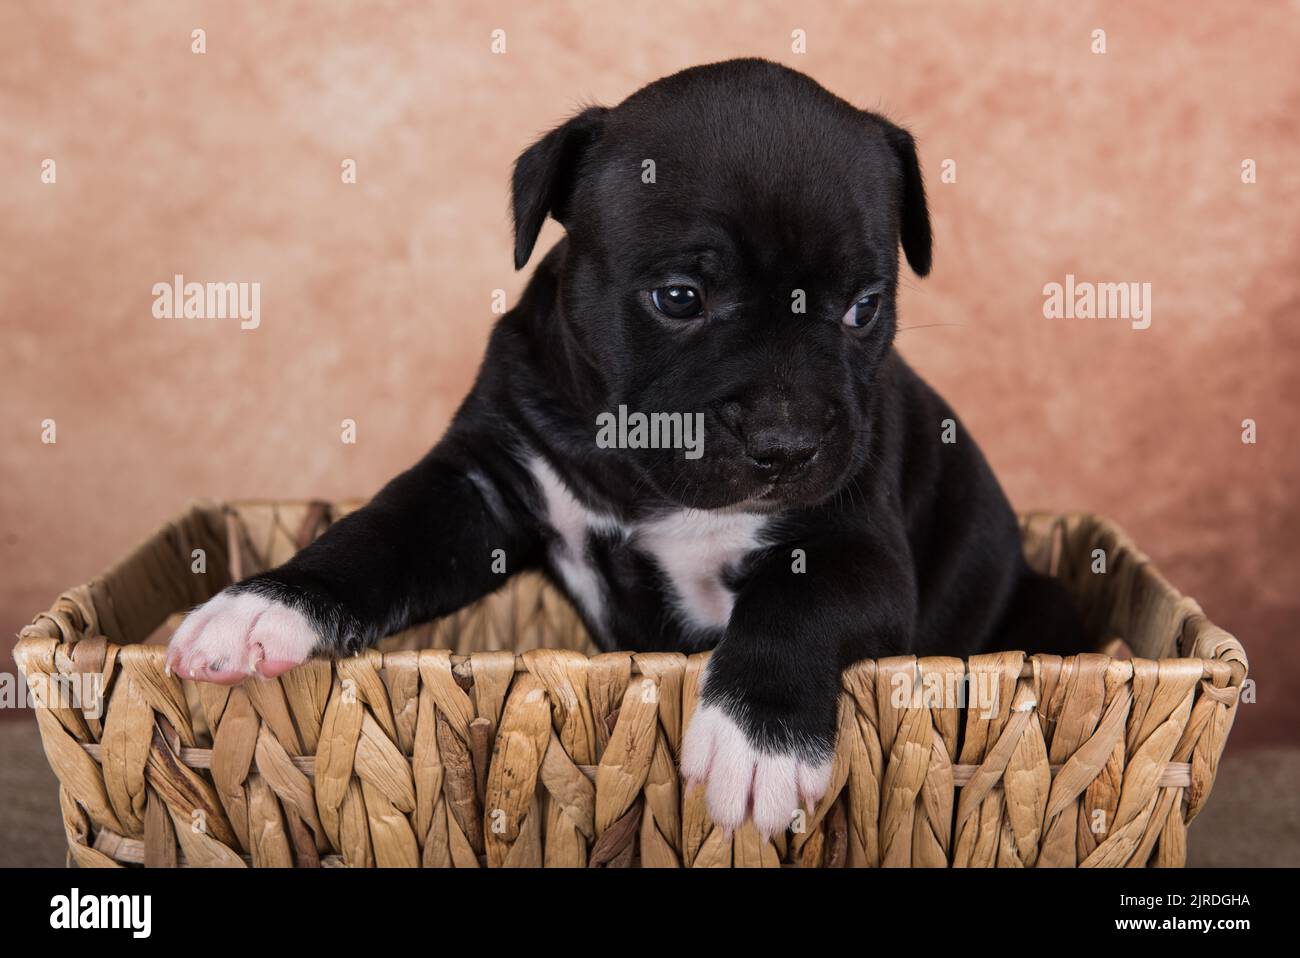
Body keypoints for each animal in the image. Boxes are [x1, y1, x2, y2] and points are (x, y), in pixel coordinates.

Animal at [167, 59, 1081, 837]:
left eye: (864, 308)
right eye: (678, 298)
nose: (785, 442)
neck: (642, 476)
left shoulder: (854, 544)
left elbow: (801, 603)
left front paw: (756, 742)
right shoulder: (478, 488)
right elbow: (375, 536)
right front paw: (263, 605)